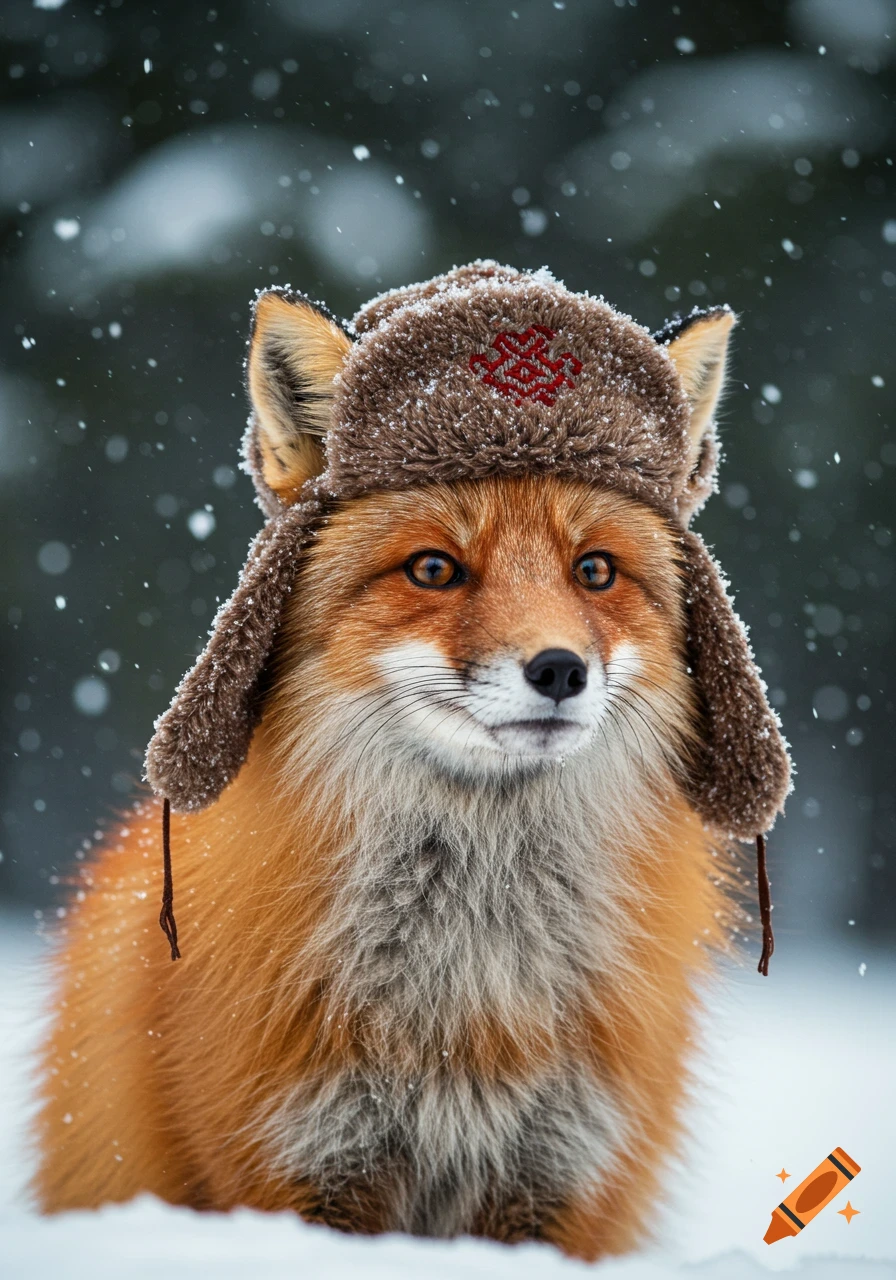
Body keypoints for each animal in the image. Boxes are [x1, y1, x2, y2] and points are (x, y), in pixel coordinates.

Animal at [33, 264, 788, 1261]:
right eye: (434, 569)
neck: (469, 993)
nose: (559, 671)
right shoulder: (301, 1165)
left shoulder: (559, 1177)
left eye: (594, 571)